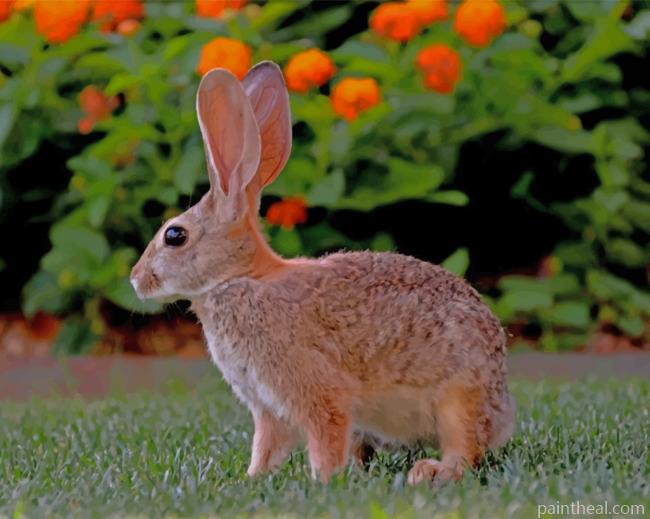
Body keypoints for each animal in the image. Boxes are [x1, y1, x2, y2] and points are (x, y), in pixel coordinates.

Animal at [130, 61, 516, 485]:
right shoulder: (268, 407)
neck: (240, 278)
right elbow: (266, 445)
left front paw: (323, 482)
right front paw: (253, 478)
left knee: (466, 447)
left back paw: (430, 472)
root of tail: (501, 405)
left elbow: (323, 434)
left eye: (175, 235)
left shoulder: (313, 390)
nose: (135, 279)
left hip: (458, 397)